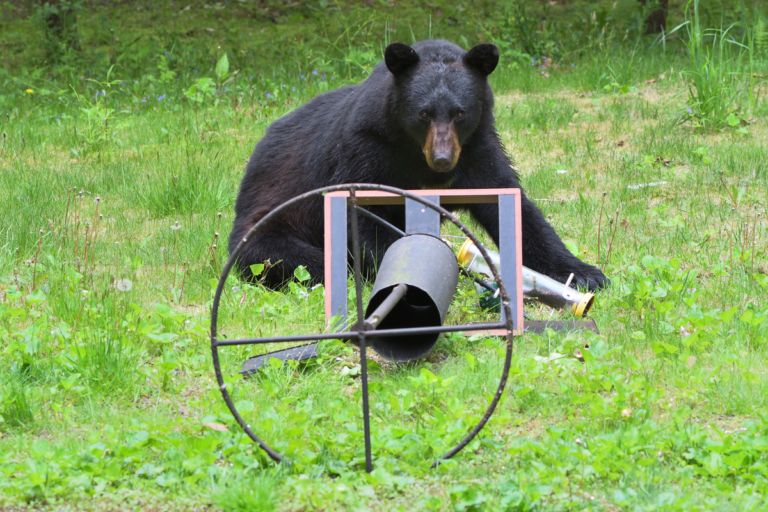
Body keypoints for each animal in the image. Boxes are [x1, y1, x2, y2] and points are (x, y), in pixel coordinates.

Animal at [229, 40, 609, 292]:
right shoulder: (366, 150)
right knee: (295, 259)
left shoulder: (477, 150)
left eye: (460, 113)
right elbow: (364, 218)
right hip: (268, 226)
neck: (416, 154)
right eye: (423, 113)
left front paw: (586, 273)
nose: (442, 159)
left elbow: (514, 207)